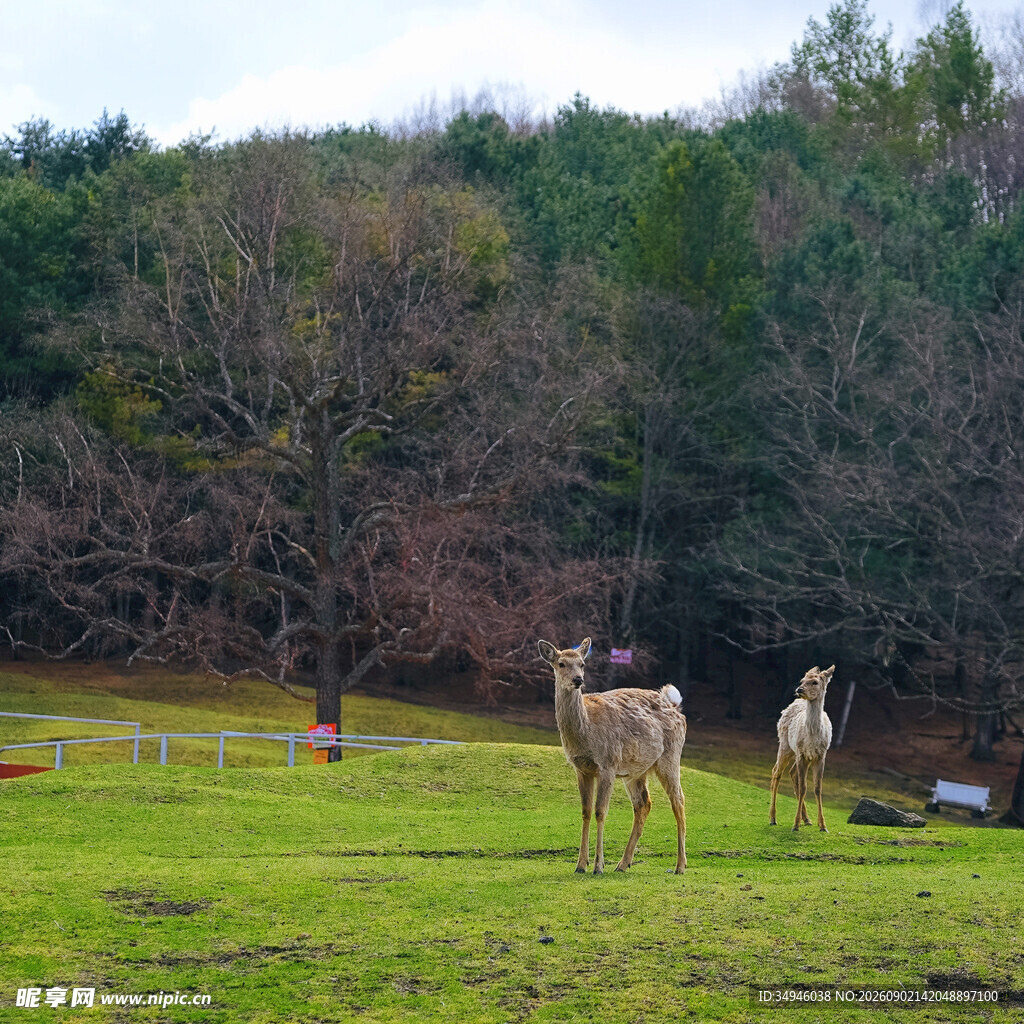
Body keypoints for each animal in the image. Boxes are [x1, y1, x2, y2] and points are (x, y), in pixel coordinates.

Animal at [538, 637, 687, 874]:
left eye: (582, 664)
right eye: (561, 664)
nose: (578, 680)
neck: (586, 732)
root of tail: (674, 705)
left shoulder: (607, 763)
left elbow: (600, 811)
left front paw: (598, 866)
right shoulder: (581, 768)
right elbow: (585, 811)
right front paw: (580, 865)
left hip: (671, 757)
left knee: (679, 801)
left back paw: (680, 866)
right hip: (636, 771)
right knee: (644, 804)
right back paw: (623, 864)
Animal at [769, 665, 835, 832]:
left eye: (815, 682)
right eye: (802, 680)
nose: (799, 689)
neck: (812, 736)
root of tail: (794, 703)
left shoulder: (821, 755)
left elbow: (817, 788)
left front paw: (822, 825)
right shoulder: (802, 753)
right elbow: (804, 787)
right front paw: (795, 825)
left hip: (796, 753)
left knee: (792, 773)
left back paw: (807, 819)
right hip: (786, 746)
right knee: (776, 772)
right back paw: (773, 818)